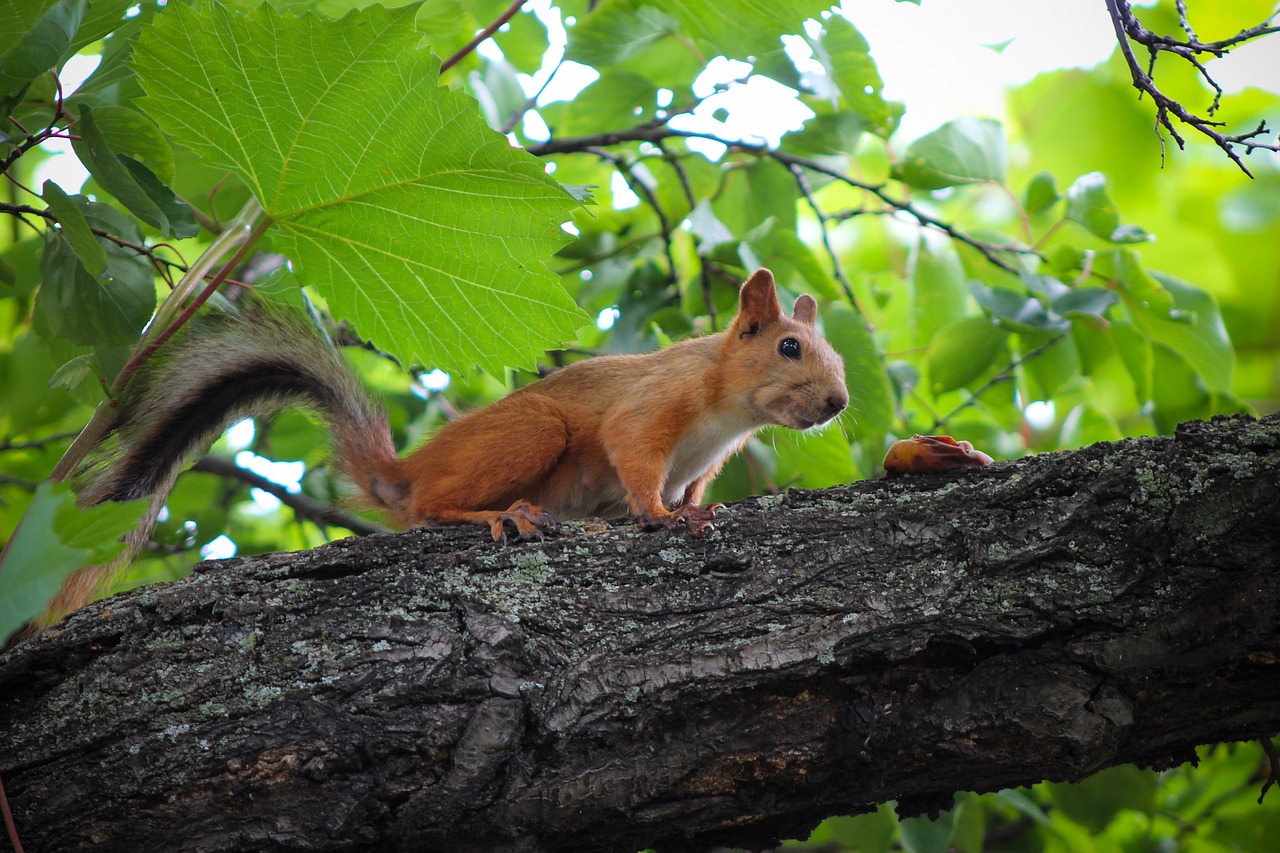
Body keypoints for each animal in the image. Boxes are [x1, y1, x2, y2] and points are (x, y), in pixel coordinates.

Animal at [47, 268, 849, 622]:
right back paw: (501, 515)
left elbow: (691, 489)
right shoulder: (653, 407)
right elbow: (637, 458)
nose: (839, 402)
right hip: (532, 432)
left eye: (837, 357)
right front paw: (659, 515)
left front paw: (690, 511)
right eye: (788, 346)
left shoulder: (704, 462)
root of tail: (400, 470)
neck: (727, 412)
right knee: (429, 507)